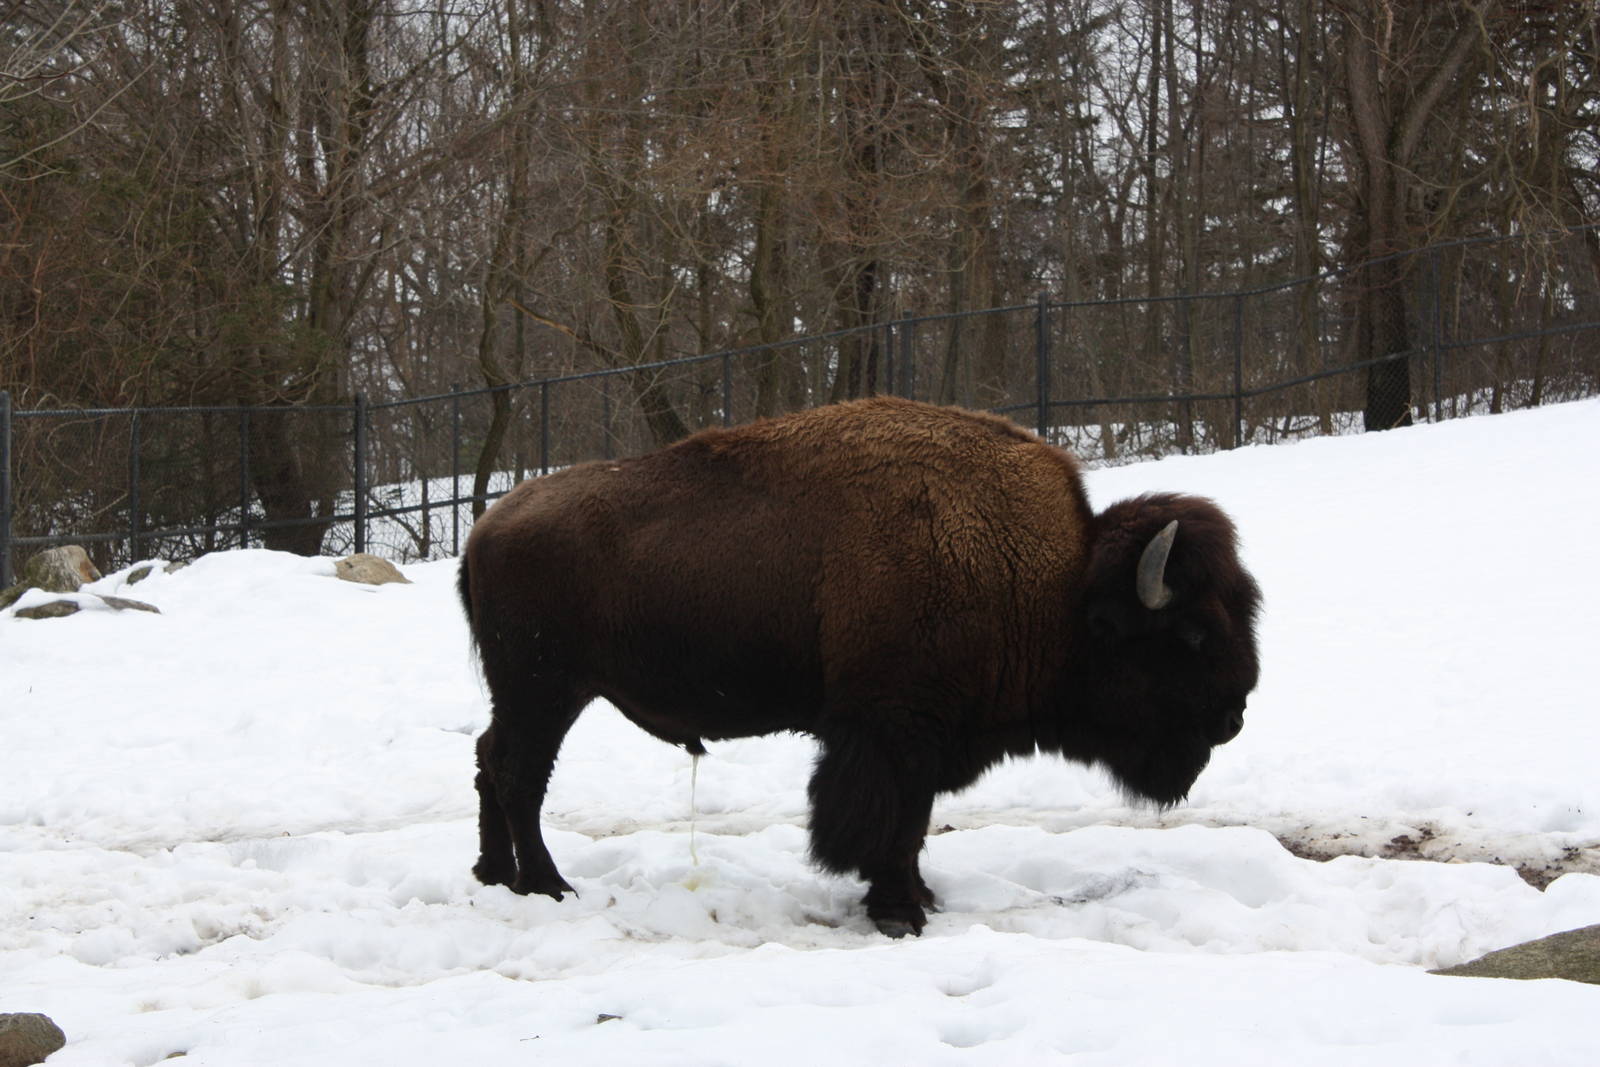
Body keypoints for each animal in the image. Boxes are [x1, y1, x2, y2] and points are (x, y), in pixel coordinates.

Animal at [458, 397, 1261, 936]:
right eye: (1192, 633)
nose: (1234, 716)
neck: (1054, 582)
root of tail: (485, 529)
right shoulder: (890, 730)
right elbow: (889, 822)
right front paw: (900, 911)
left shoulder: (925, 735)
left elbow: (914, 822)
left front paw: (919, 897)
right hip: (545, 690)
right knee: (518, 773)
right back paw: (548, 885)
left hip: (532, 694)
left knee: (490, 760)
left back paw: (497, 875)